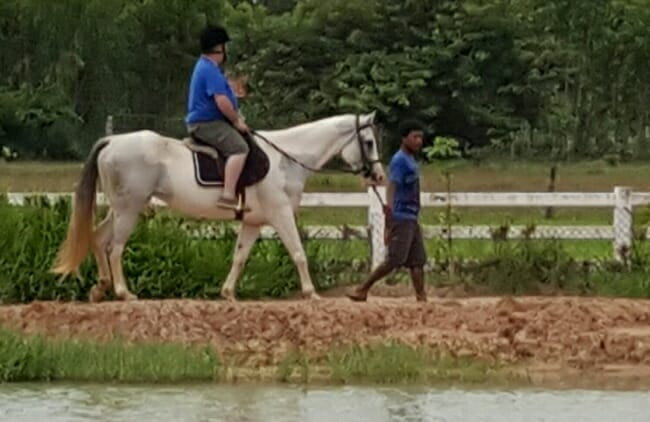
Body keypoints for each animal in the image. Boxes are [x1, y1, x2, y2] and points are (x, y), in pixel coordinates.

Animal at [53, 112, 384, 304]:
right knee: (115, 247)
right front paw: (311, 292)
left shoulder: (253, 222)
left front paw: (228, 293)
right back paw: (124, 292)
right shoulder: (281, 215)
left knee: (98, 238)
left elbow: (240, 257)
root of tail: (111, 141)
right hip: (129, 209)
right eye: (368, 142)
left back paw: (100, 288)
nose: (379, 177)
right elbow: (299, 253)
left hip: (120, 208)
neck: (287, 159)